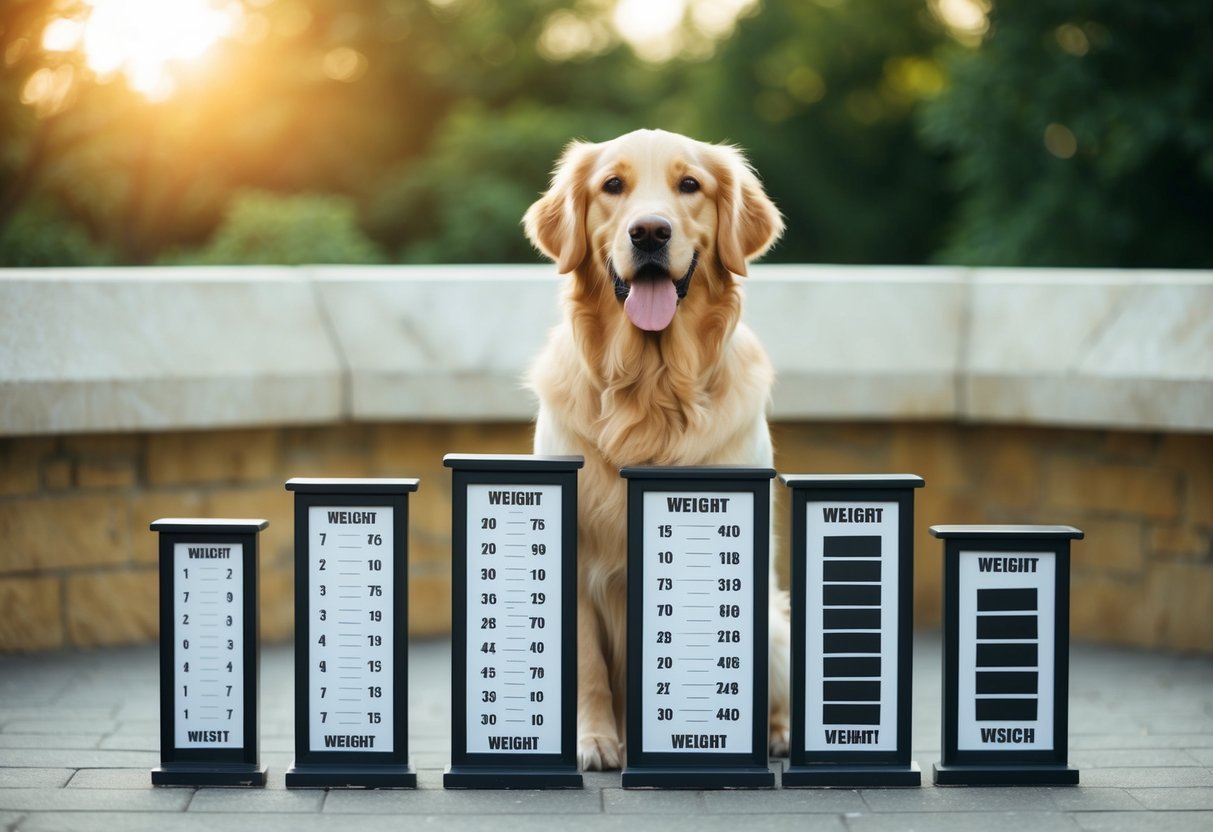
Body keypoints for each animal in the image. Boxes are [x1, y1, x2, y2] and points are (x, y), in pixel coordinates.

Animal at [524, 130, 790, 776]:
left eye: (689, 185)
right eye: (612, 185)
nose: (649, 232)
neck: (651, 389)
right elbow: (588, 665)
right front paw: (596, 741)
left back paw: (775, 734)